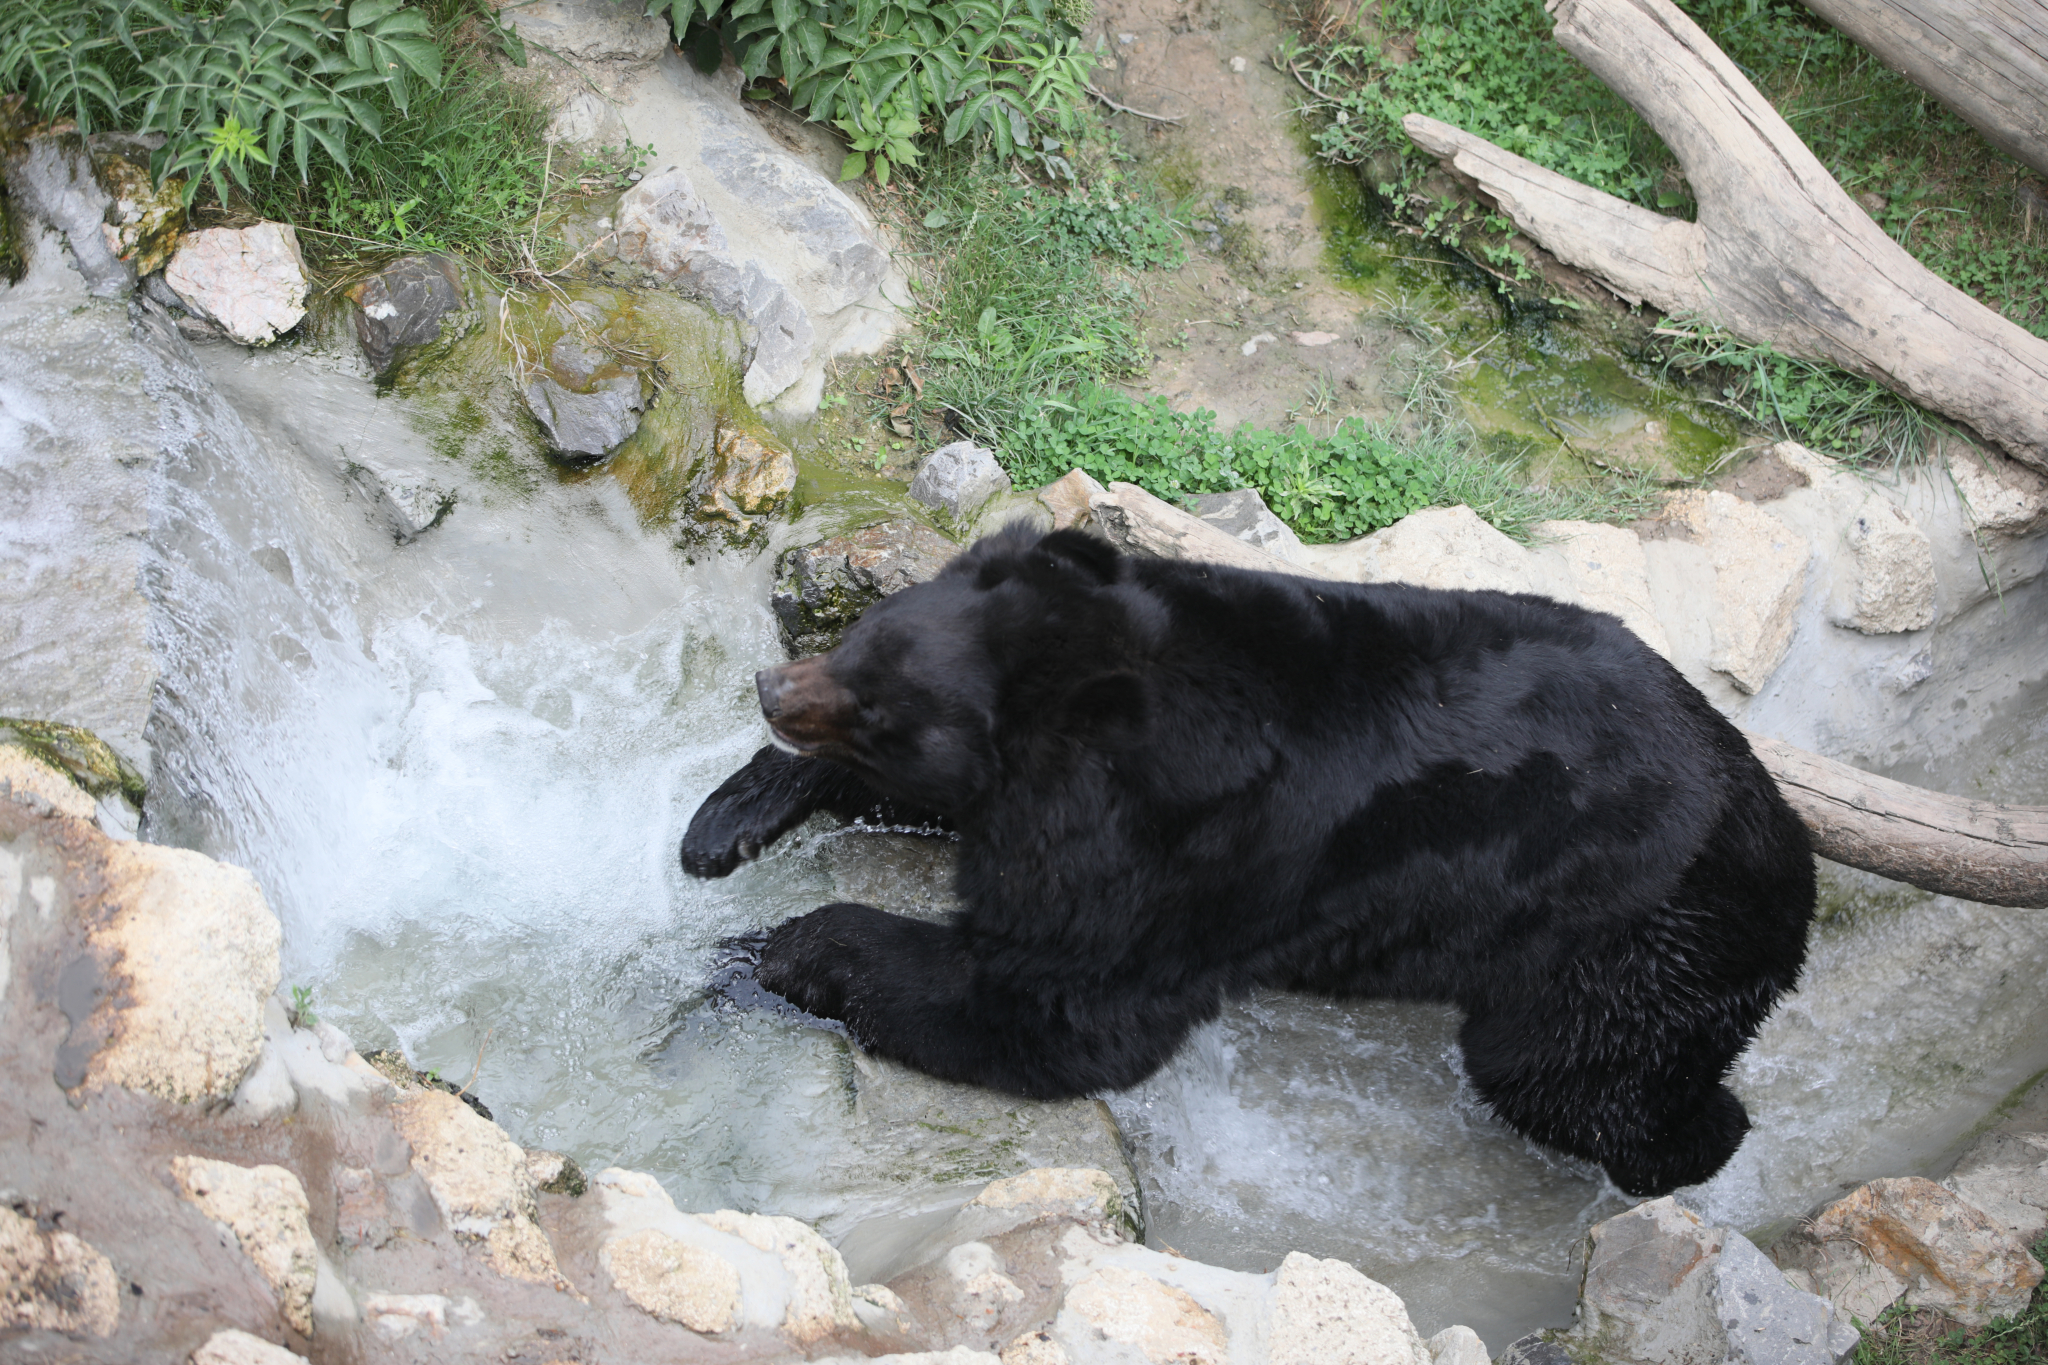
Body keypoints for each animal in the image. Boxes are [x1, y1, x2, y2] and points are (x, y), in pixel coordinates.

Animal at [679, 523, 1818, 1195]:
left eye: (877, 703)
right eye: (855, 640)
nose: (770, 688)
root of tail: (1790, 848)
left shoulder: (1184, 848)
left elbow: (1061, 1004)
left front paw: (772, 948)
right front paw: (721, 824)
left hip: (1625, 939)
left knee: (1574, 1077)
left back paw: (1690, 1145)